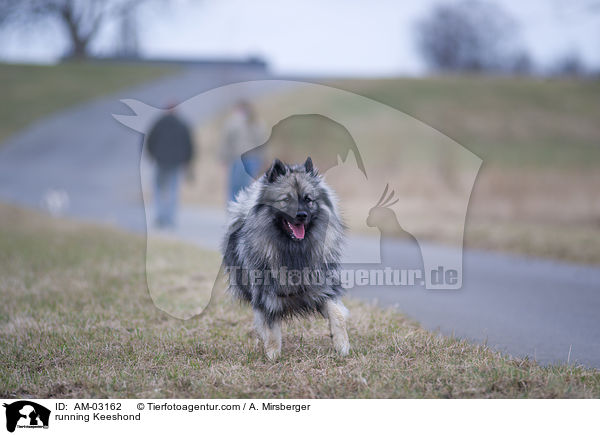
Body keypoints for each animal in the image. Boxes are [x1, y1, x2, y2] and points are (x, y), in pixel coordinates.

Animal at [223, 158, 350, 362]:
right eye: (286, 199)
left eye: (308, 199)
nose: (302, 215)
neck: (294, 249)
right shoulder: (266, 298)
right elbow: (271, 330)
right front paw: (273, 356)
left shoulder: (324, 288)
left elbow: (337, 315)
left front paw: (342, 345)